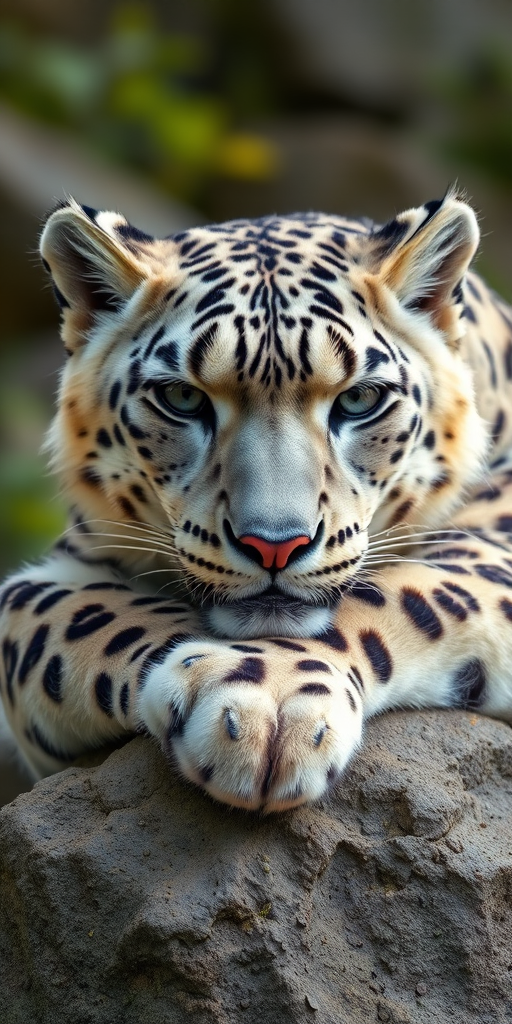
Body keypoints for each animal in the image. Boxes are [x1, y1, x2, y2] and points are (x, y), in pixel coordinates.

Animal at [1, 188, 512, 812]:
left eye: (360, 399)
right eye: (180, 398)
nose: (274, 546)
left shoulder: (494, 541)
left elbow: (400, 593)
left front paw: (271, 699)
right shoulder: (53, 573)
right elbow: (97, 616)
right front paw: (246, 705)